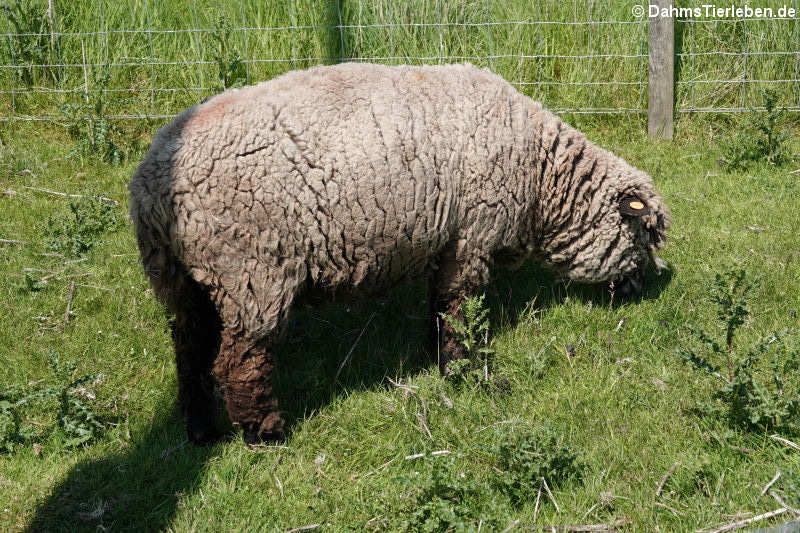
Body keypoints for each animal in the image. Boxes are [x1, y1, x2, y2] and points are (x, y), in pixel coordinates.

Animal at [129, 62, 670, 445]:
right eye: (645, 234)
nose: (642, 291)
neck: (541, 178)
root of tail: (151, 186)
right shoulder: (472, 237)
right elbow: (460, 309)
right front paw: (463, 372)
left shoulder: (446, 242)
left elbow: (439, 306)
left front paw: (437, 356)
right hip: (252, 271)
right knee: (239, 360)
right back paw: (266, 432)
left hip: (181, 278)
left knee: (190, 348)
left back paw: (201, 430)